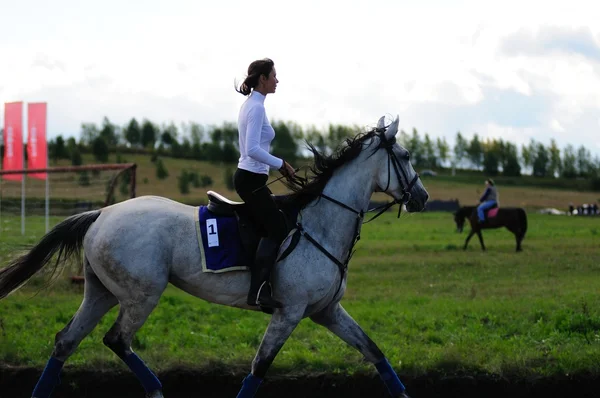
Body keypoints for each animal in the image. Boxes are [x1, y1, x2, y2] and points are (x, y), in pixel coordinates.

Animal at [0, 113, 426, 396]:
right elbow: (258, 369)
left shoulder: (327, 311)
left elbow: (374, 351)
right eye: (405, 156)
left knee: (65, 341)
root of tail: (101, 213)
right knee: (116, 340)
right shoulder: (289, 312)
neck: (321, 222)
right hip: (141, 294)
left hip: (101, 292)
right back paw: (156, 389)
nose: (422, 198)